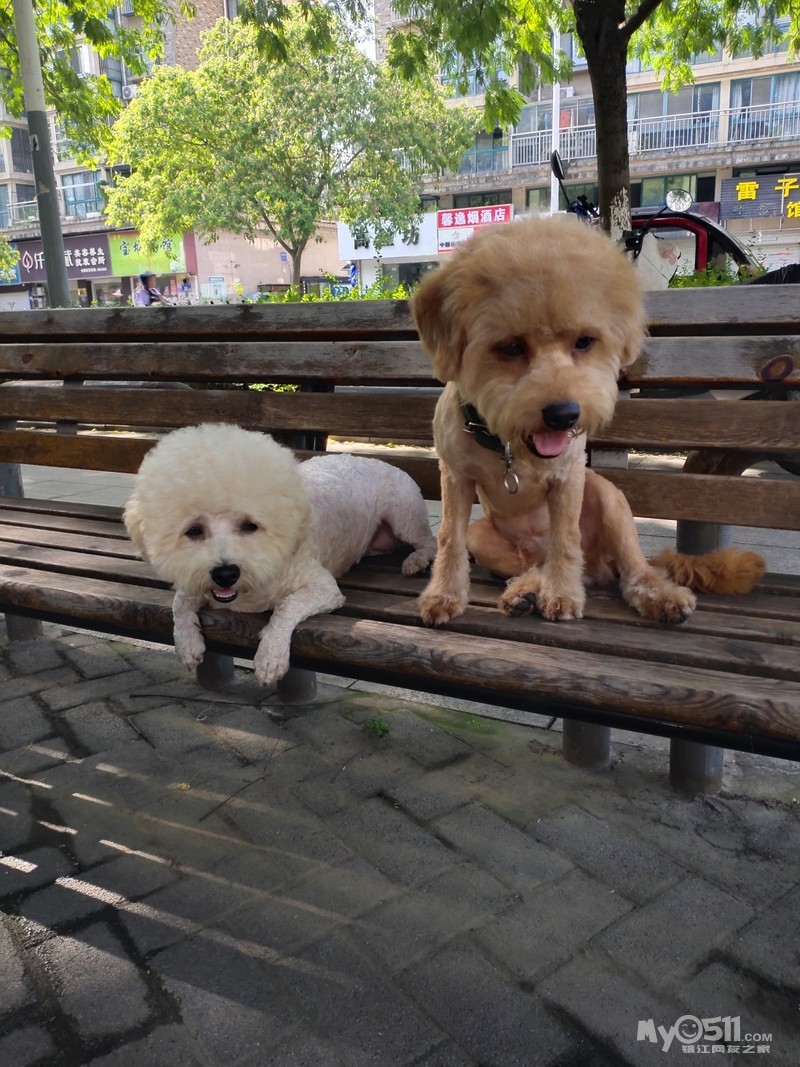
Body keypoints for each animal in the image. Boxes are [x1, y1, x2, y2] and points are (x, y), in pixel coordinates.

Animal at [123, 423, 436, 685]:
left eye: (250, 525)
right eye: (194, 530)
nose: (225, 573)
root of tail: (381, 461)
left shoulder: (324, 588)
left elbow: (286, 605)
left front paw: (269, 658)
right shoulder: (194, 578)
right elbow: (180, 602)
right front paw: (187, 645)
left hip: (403, 513)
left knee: (428, 541)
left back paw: (416, 561)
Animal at [411, 214, 764, 628]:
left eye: (584, 341)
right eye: (510, 347)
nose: (563, 415)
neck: (509, 447)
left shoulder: (568, 478)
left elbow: (565, 542)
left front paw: (562, 595)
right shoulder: (455, 479)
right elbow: (448, 538)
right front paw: (444, 595)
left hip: (608, 498)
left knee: (626, 569)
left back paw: (655, 594)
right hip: (482, 535)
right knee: (533, 563)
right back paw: (524, 591)